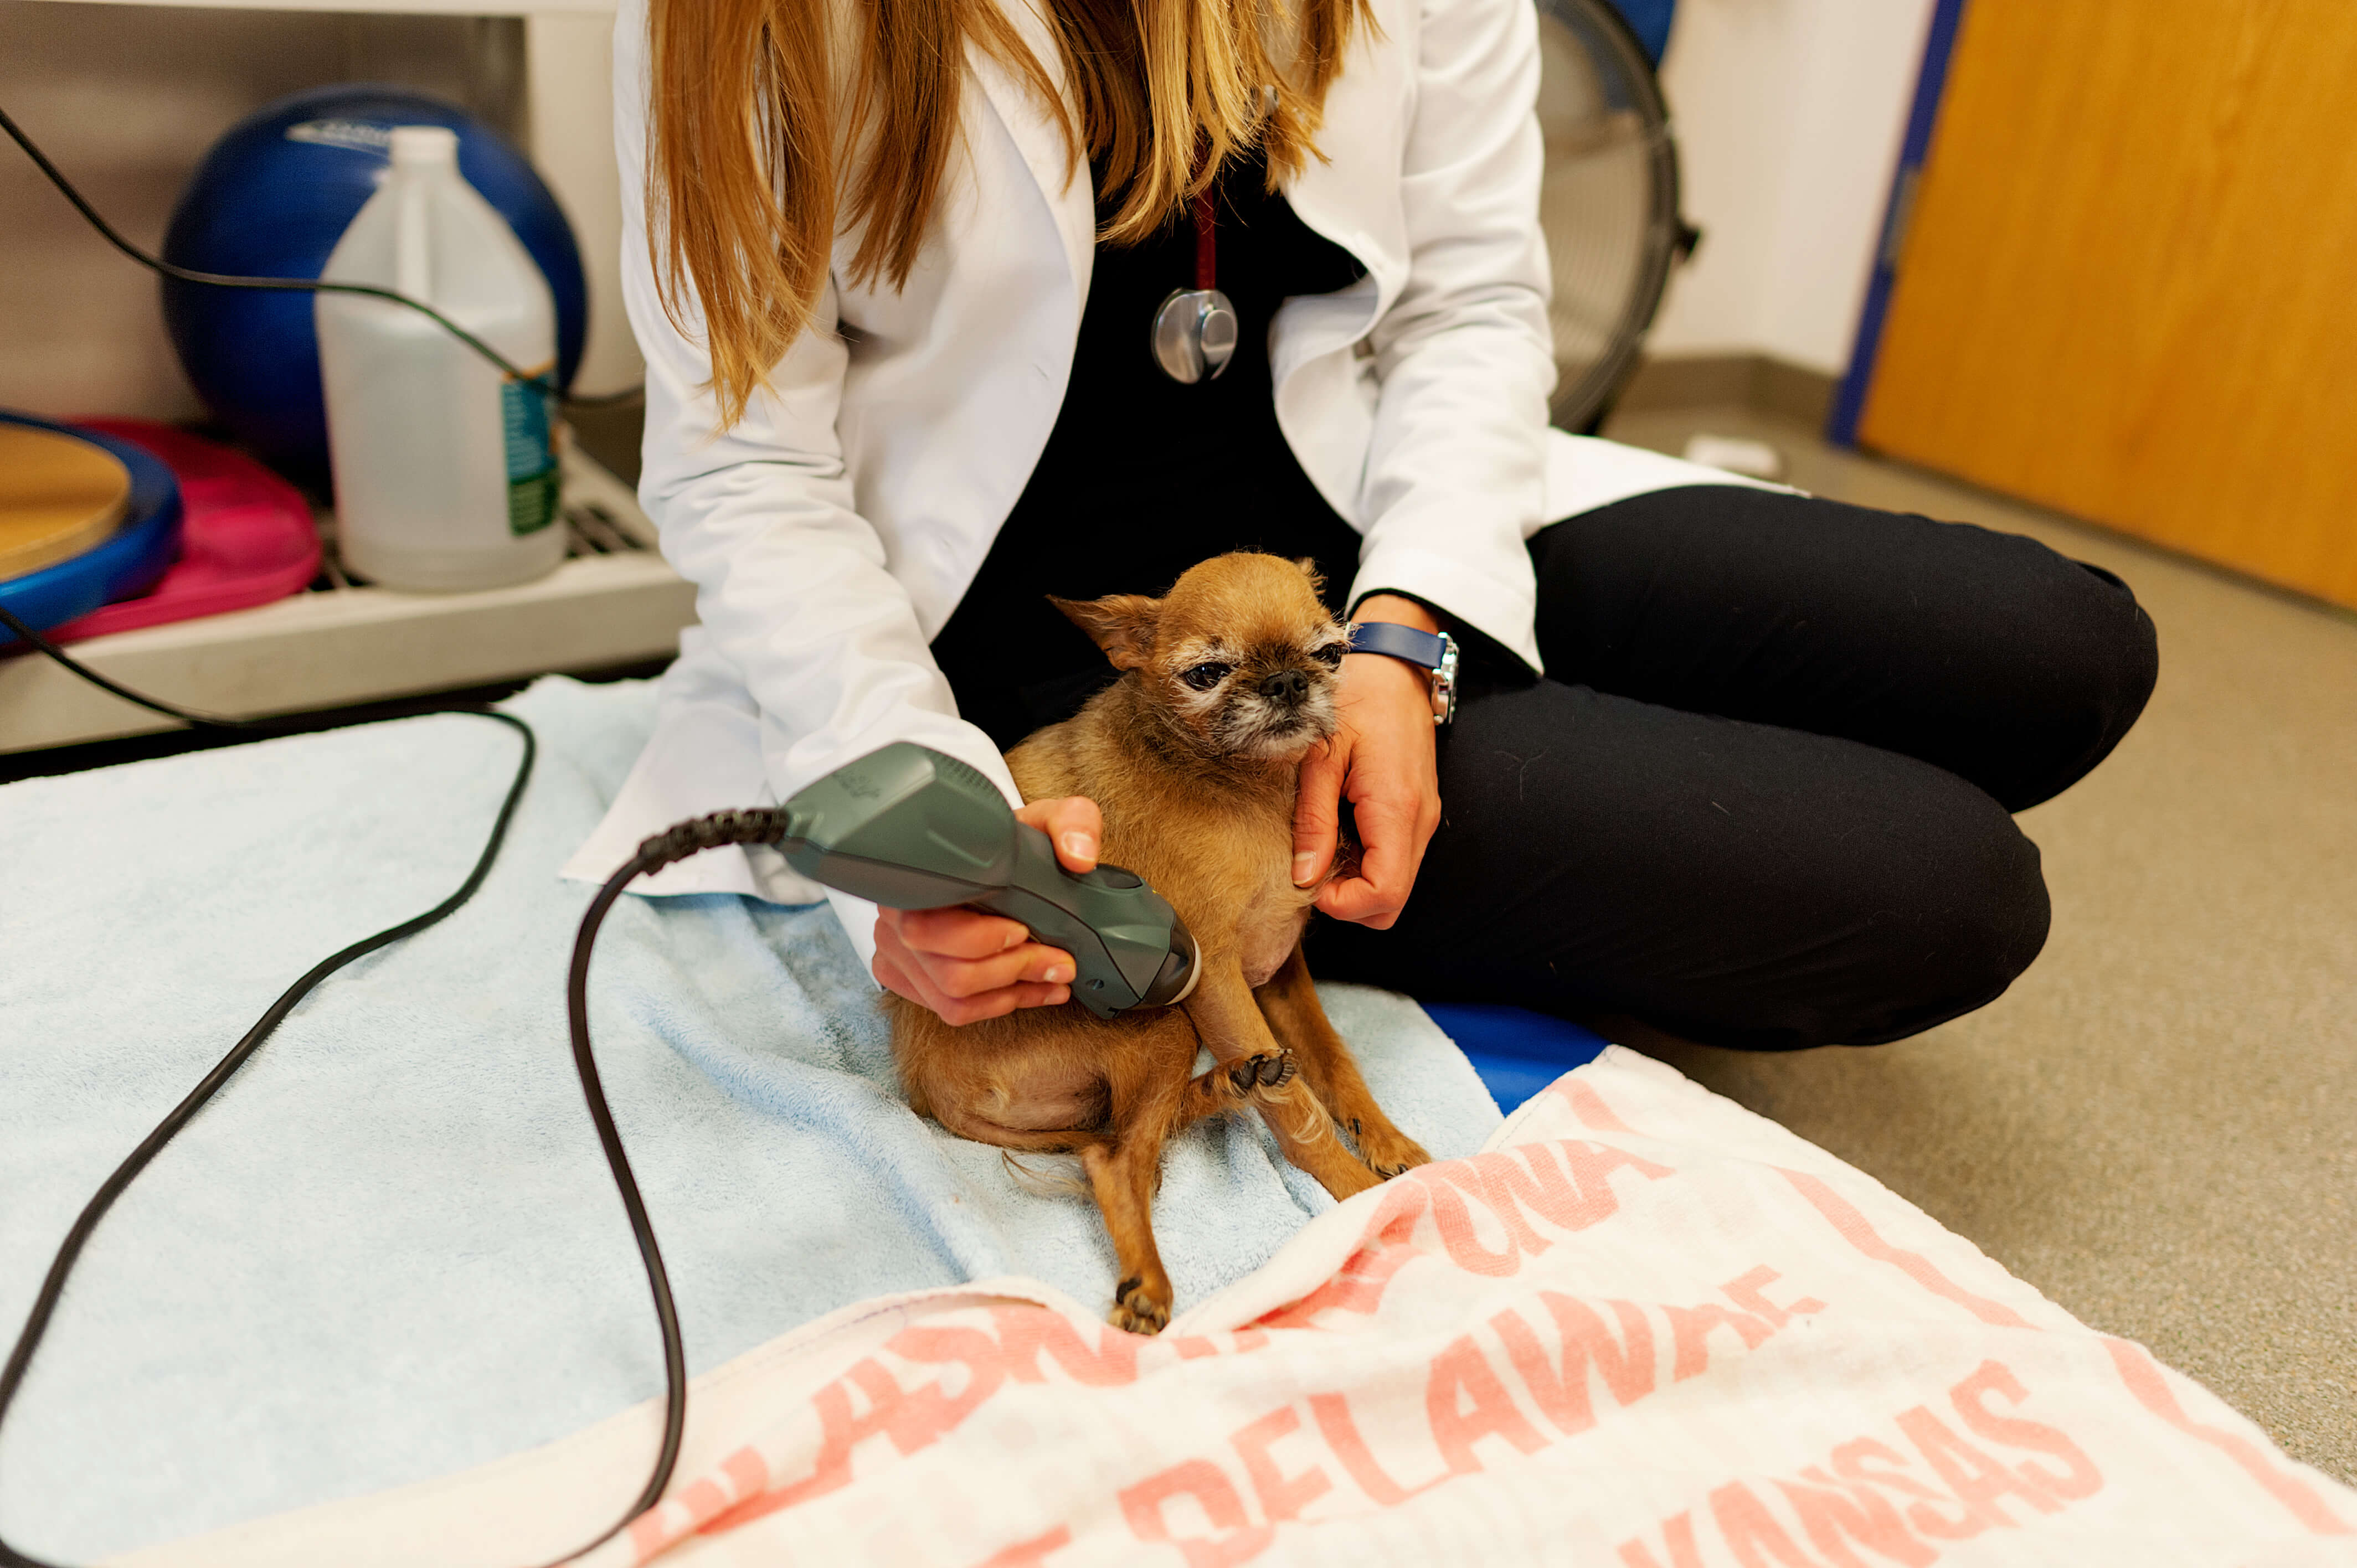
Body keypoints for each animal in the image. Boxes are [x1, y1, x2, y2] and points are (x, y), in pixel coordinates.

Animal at [886, 549, 1423, 1329]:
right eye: (1205, 673)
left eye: (1330, 654)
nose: (1287, 682)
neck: (1242, 782)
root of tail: (925, 1087)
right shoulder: (1221, 982)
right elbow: (1302, 1118)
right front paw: (1361, 1196)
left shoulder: (1279, 972)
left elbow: (1334, 1063)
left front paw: (1388, 1141)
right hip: (1162, 1021)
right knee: (1115, 1160)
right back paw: (1149, 1281)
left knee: (1151, 1126)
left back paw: (1232, 1083)